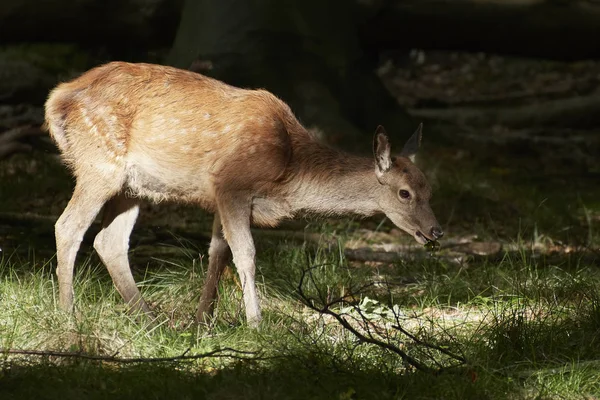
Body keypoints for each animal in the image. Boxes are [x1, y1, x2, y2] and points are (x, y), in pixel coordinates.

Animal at [44, 61, 442, 326]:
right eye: (405, 193)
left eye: (429, 188)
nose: (436, 231)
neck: (288, 173)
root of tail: (56, 99)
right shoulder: (232, 184)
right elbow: (246, 254)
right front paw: (255, 324)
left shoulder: (222, 197)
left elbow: (218, 253)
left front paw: (202, 322)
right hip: (98, 163)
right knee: (68, 226)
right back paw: (68, 315)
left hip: (132, 185)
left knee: (109, 240)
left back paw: (151, 319)